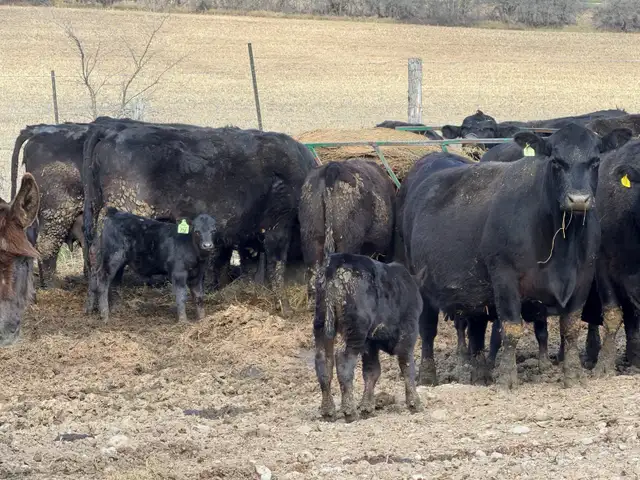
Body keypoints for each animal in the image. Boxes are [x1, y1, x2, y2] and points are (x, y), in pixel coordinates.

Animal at [85, 208, 217, 322]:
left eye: (213, 230)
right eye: (197, 231)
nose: (207, 245)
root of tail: (114, 212)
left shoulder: (198, 275)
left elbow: (199, 296)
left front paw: (201, 318)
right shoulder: (178, 273)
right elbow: (182, 295)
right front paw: (183, 321)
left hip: (104, 258)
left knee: (100, 280)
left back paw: (93, 310)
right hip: (112, 258)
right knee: (103, 281)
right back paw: (105, 315)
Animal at [313, 253, 423, 423]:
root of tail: (335, 263)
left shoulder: (370, 343)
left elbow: (372, 371)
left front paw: (367, 407)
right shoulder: (409, 332)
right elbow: (407, 365)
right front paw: (414, 403)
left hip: (321, 323)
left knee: (323, 360)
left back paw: (328, 410)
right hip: (356, 329)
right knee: (343, 359)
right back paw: (349, 411)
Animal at [402, 123, 631, 390]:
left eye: (595, 161)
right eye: (556, 161)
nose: (579, 200)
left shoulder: (583, 277)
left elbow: (571, 328)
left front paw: (573, 375)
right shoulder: (504, 276)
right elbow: (511, 329)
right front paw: (507, 379)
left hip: (475, 289)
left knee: (476, 329)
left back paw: (480, 375)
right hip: (420, 281)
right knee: (427, 330)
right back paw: (428, 376)